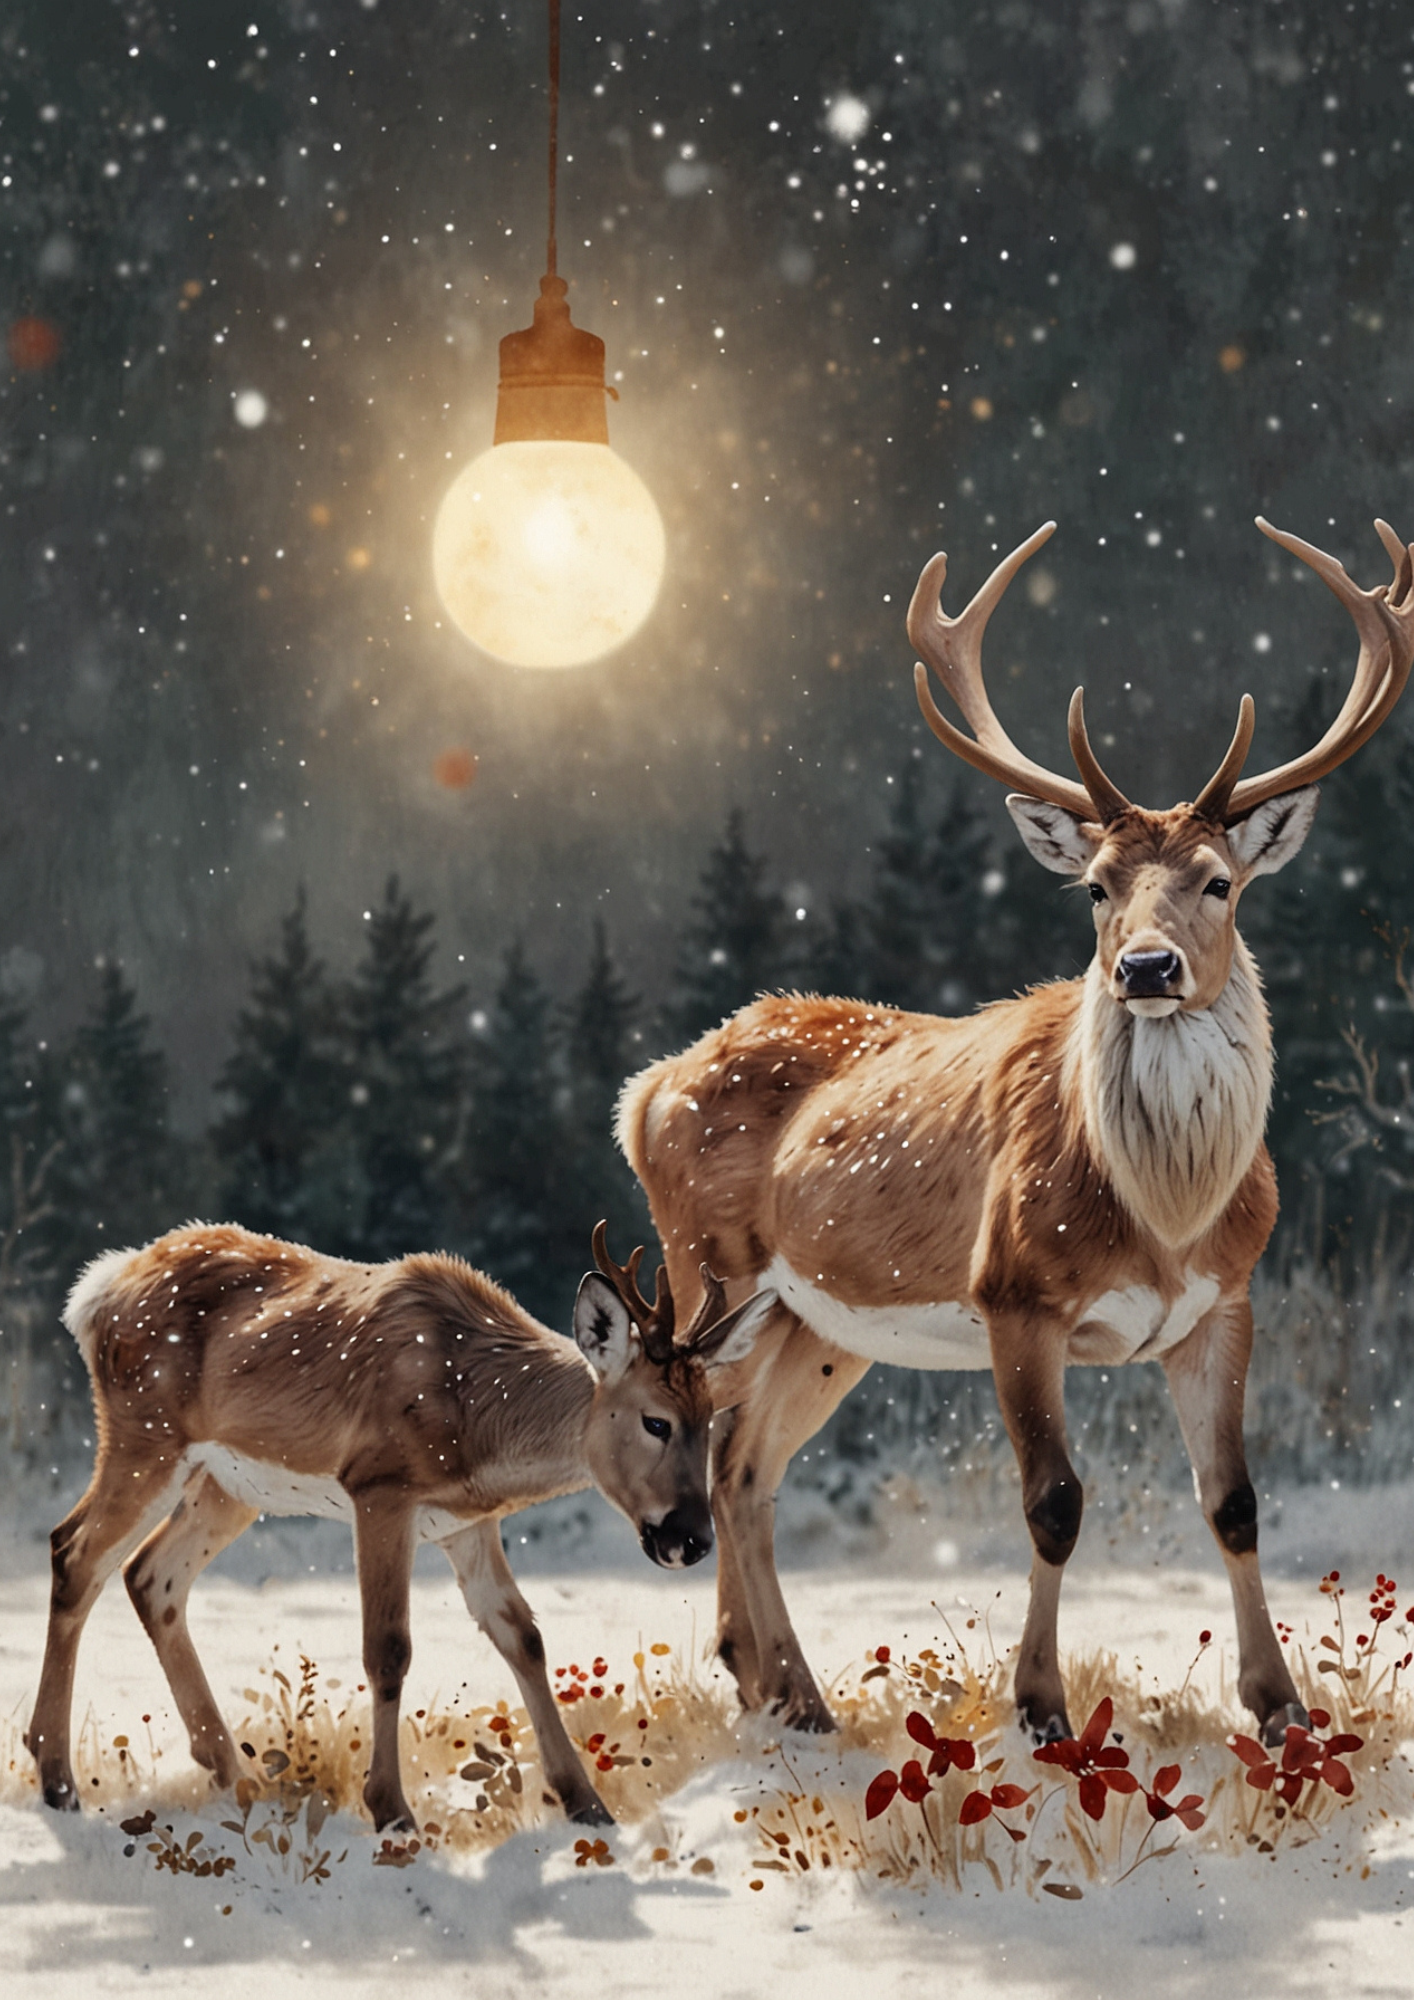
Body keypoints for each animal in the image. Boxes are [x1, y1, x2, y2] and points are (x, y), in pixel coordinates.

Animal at [26, 1220, 775, 1830]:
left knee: (149, 1574)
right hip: (145, 1435)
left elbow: (523, 1636)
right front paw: (392, 1810)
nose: (690, 1537)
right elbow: (387, 1648)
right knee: (74, 1551)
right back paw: (58, 1778)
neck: (478, 1416)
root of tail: (95, 1293)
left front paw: (587, 1804)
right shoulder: (380, 1487)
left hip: (226, 1485)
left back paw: (234, 1776)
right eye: (656, 1421)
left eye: (710, 1418)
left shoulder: (465, 1522)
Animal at [618, 515, 1414, 1748]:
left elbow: (1233, 1499)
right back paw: (774, 1686)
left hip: (818, 1323)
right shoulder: (1013, 1295)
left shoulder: (1224, 1300)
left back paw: (788, 1693)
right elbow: (1053, 1502)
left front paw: (1280, 1704)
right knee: (709, 1436)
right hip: (706, 1264)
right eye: (1094, 887)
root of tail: (648, 1087)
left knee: (746, 1464)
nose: (1147, 966)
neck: (1163, 1216)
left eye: (1218, 881)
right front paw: (1039, 1707)